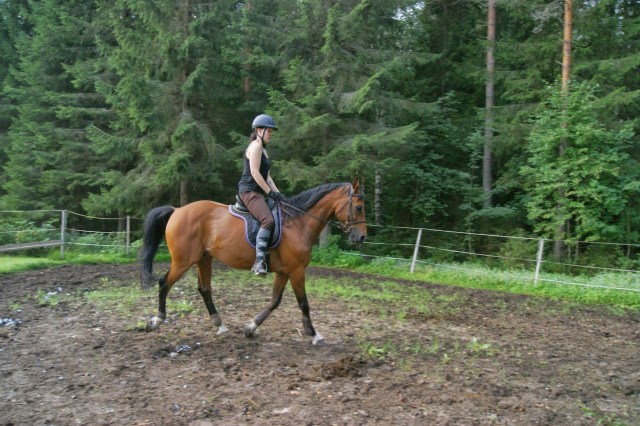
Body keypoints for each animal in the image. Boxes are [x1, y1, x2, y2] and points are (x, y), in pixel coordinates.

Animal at [139, 178, 367, 345]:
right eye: (358, 207)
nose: (362, 238)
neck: (298, 222)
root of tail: (177, 210)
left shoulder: (284, 271)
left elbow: (274, 301)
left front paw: (250, 327)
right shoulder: (296, 270)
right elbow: (303, 303)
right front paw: (313, 334)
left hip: (203, 259)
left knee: (204, 289)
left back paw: (219, 324)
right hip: (183, 260)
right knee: (164, 283)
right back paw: (156, 320)